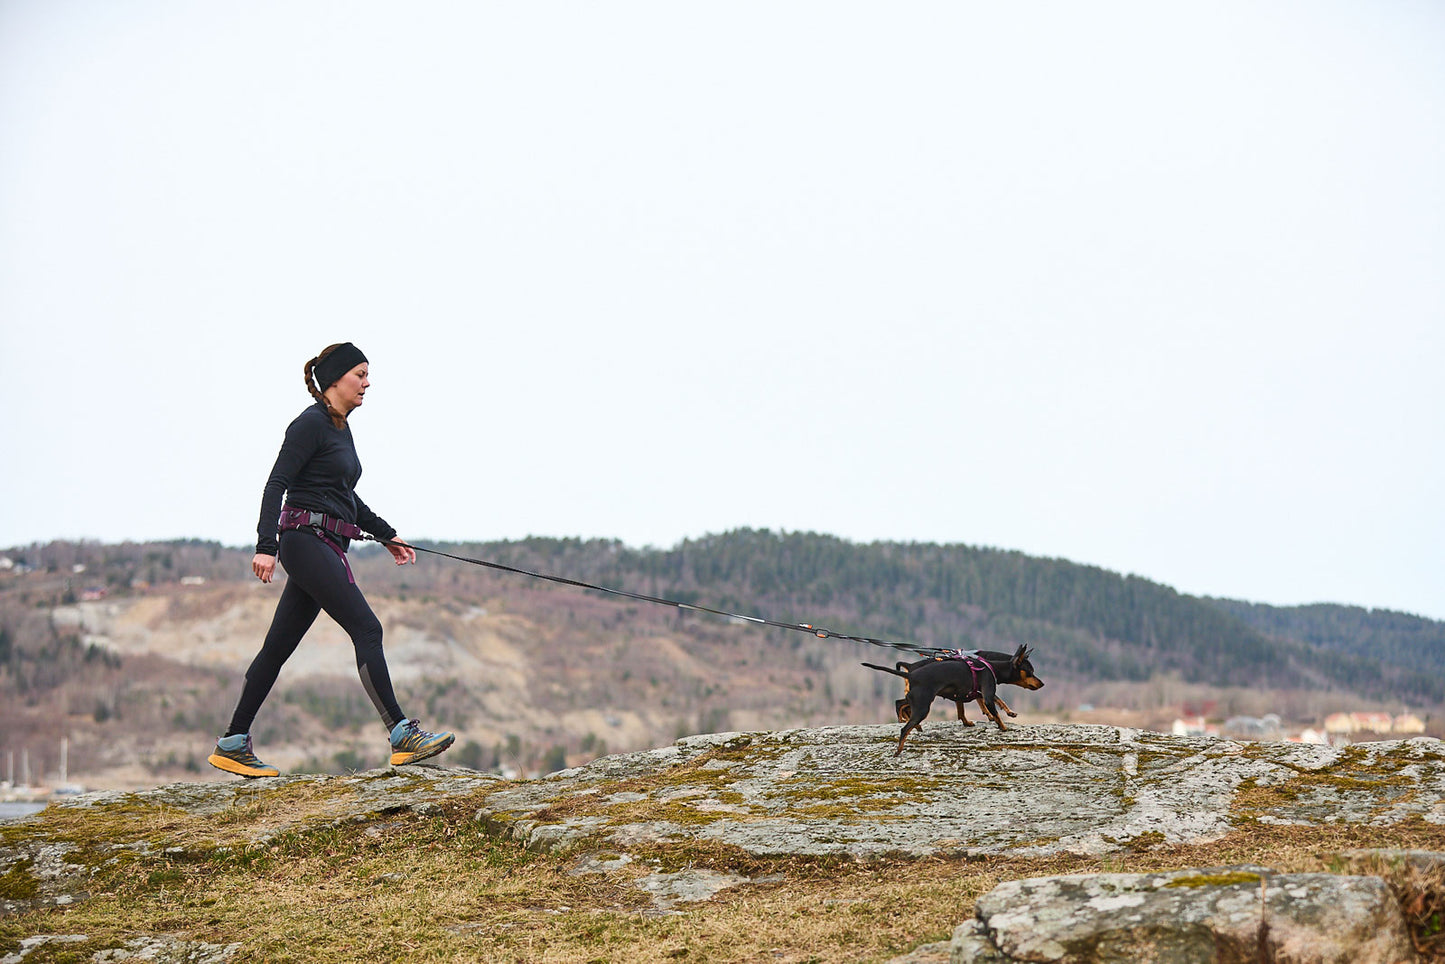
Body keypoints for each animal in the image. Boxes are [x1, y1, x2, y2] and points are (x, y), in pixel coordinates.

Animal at [861, 644, 1046, 757]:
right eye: (1030, 672)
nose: (1042, 683)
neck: (991, 665)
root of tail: (911, 672)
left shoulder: (968, 694)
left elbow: (968, 709)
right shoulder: (985, 694)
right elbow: (994, 709)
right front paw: (1003, 726)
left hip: (917, 699)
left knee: (900, 704)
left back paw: (910, 724)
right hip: (923, 706)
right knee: (904, 728)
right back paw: (899, 749)